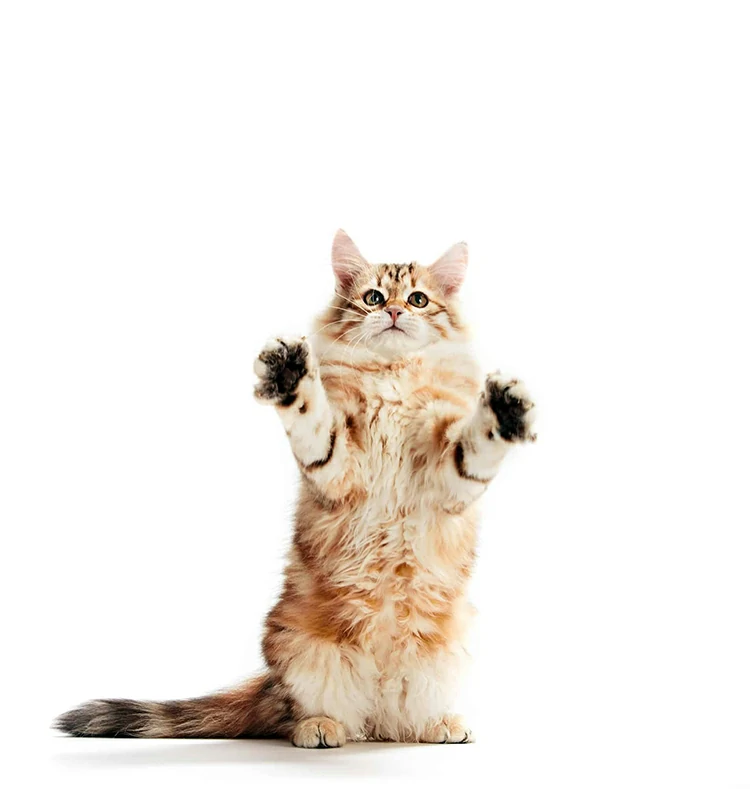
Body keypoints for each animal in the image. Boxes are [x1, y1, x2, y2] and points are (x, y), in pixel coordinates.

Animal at [55, 231, 536, 748]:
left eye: (418, 299)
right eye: (373, 297)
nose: (392, 312)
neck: (392, 378)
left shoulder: (449, 480)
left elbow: (476, 447)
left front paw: (505, 410)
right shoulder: (336, 466)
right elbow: (313, 422)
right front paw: (289, 375)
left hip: (448, 651)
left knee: (400, 720)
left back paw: (440, 723)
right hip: (298, 648)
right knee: (314, 715)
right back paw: (322, 727)